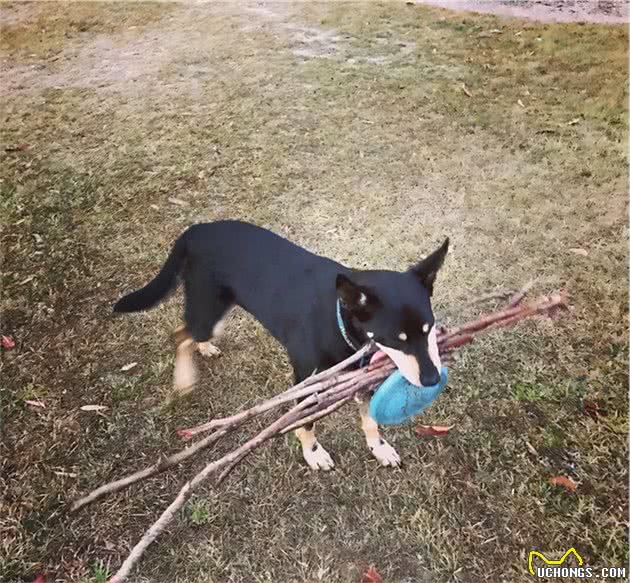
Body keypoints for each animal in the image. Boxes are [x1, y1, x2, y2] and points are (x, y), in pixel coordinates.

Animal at [115, 221, 450, 472]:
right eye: (395, 339)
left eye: (429, 328)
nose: (432, 379)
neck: (338, 319)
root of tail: (197, 228)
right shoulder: (306, 382)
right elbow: (307, 423)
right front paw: (313, 454)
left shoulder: (359, 376)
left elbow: (370, 420)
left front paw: (379, 449)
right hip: (209, 308)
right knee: (180, 334)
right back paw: (184, 379)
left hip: (220, 310)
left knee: (186, 332)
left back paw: (205, 349)